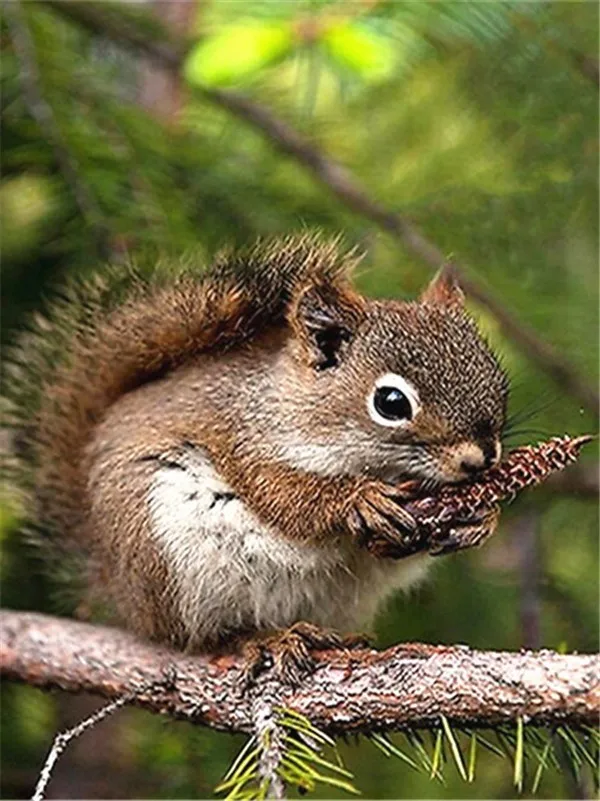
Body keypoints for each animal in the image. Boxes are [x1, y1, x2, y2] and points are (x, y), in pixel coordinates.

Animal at [13, 233, 508, 676]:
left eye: (495, 374)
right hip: (169, 558)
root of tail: (114, 584)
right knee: (200, 637)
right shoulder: (243, 440)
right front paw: (358, 499)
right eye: (390, 403)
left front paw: (483, 518)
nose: (480, 459)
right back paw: (266, 638)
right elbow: (284, 496)